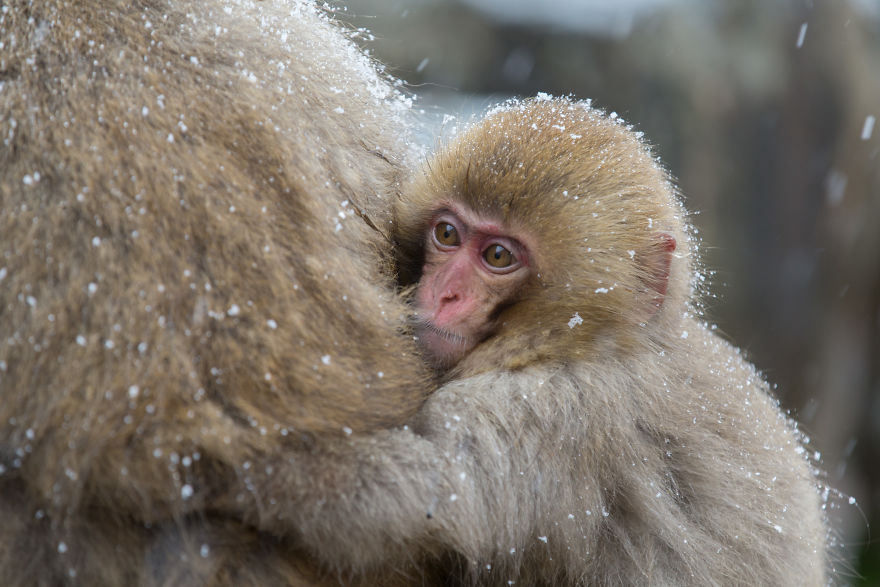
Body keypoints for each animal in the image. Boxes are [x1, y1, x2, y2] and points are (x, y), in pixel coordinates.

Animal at [227, 97, 829, 586]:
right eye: (448, 234)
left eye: (498, 256)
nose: (442, 294)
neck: (590, 341)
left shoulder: (563, 411)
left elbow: (420, 497)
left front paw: (246, 474)